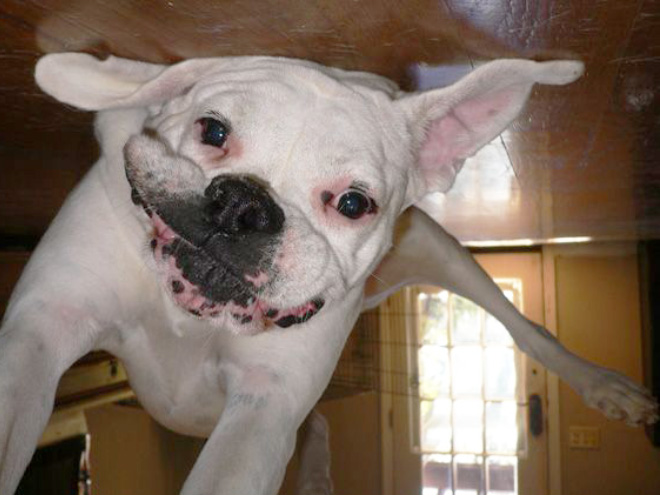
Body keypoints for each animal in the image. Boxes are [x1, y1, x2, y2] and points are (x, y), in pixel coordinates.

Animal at [0, 52, 656, 494]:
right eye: (212, 130)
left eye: (353, 203)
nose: (244, 206)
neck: (192, 314)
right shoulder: (42, 327)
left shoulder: (265, 407)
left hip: (442, 251)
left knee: (523, 326)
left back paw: (605, 385)